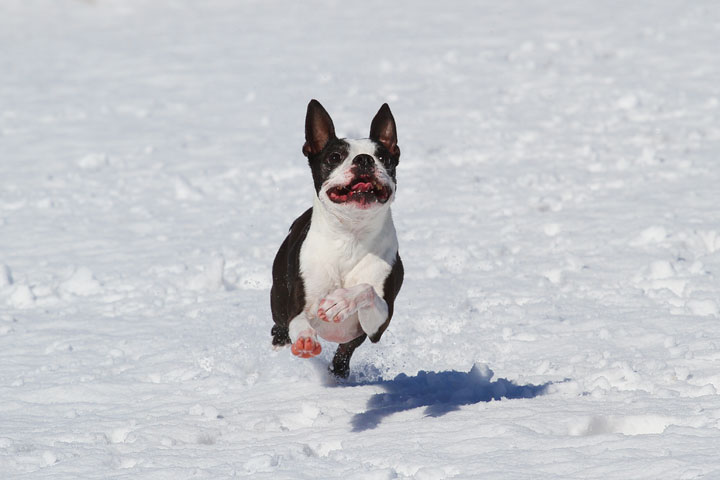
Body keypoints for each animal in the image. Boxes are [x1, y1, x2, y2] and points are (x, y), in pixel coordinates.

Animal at [272, 100, 404, 378]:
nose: (364, 159)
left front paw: (339, 302)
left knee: (345, 350)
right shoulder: (296, 310)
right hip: (277, 303)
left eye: (383, 157)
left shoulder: (379, 324)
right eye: (335, 157)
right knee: (279, 331)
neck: (350, 236)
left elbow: (366, 289)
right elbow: (299, 321)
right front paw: (305, 338)